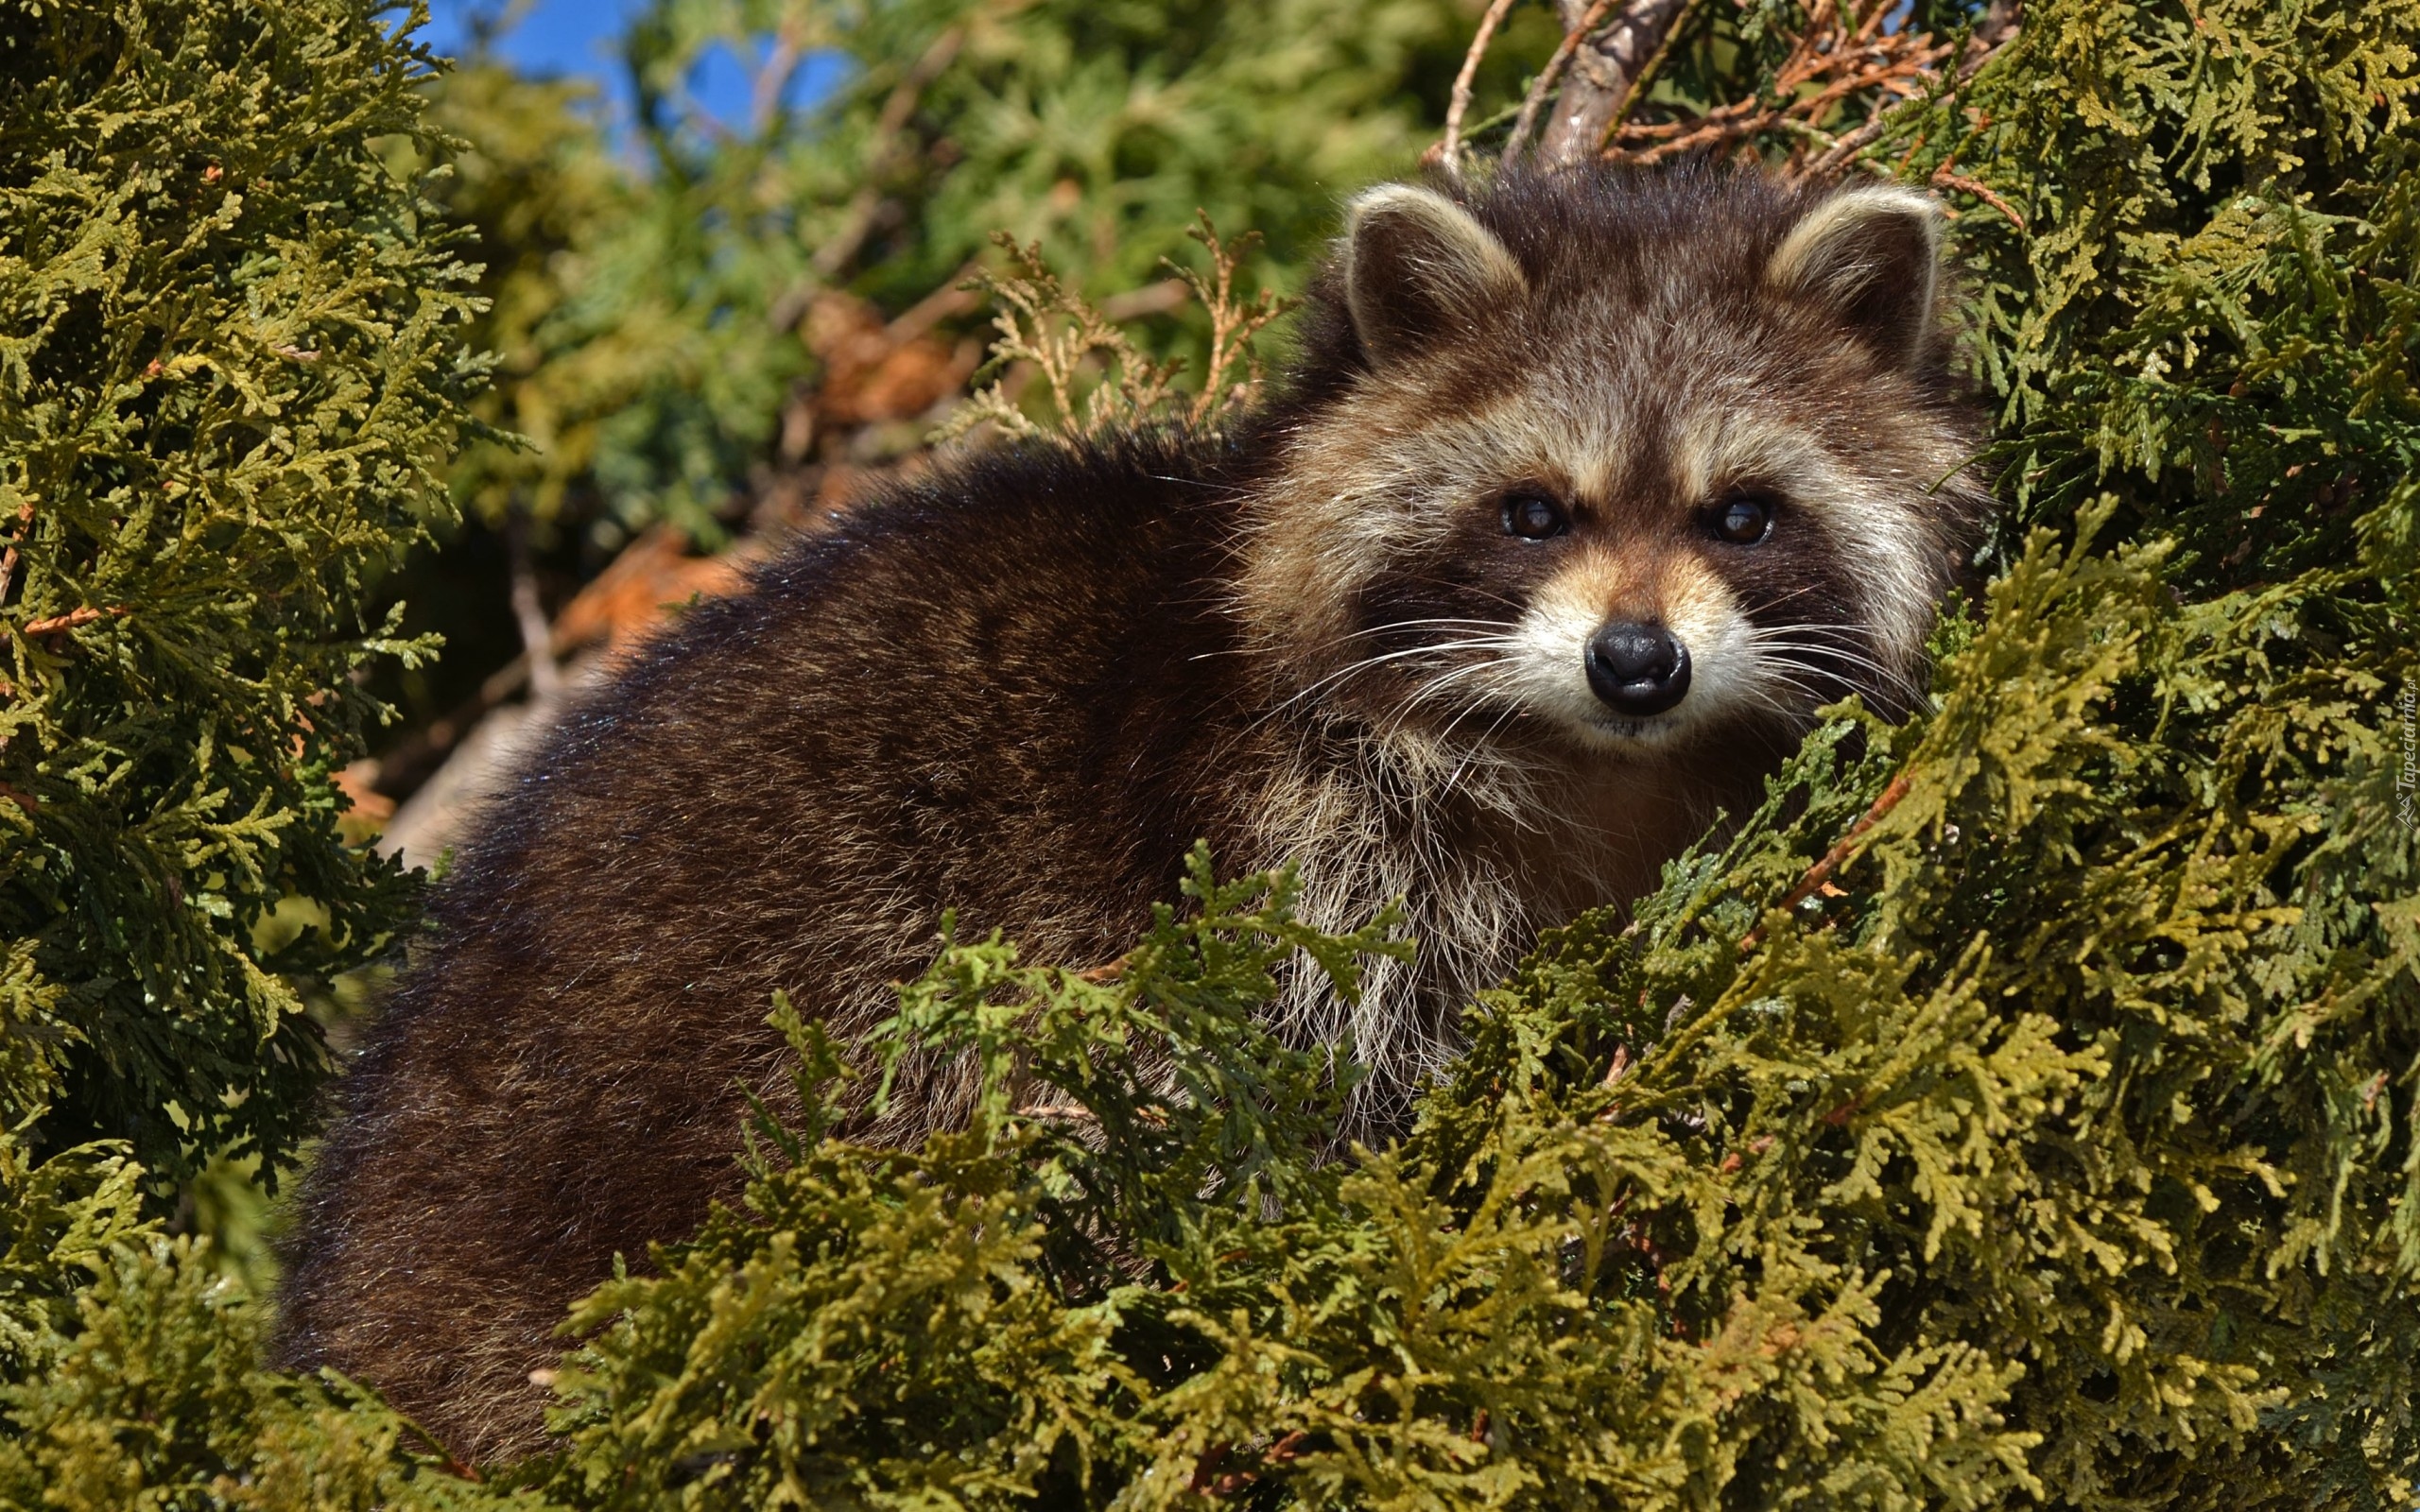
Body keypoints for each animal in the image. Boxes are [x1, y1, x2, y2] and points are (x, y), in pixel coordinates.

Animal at [278, 164, 1984, 1452]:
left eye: (1741, 515)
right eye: (1532, 512)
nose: (1637, 662)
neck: (1586, 762)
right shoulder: (1279, 849)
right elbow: (1264, 1097)